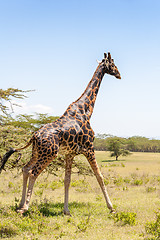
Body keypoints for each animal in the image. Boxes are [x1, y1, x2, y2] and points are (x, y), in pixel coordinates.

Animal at [0, 52, 120, 214]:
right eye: (113, 64)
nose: (119, 74)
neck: (86, 110)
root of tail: (34, 136)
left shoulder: (70, 153)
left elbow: (67, 180)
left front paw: (66, 211)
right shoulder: (89, 148)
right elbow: (99, 176)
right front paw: (111, 208)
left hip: (37, 152)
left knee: (25, 169)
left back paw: (20, 204)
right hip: (49, 154)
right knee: (33, 173)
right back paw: (25, 207)